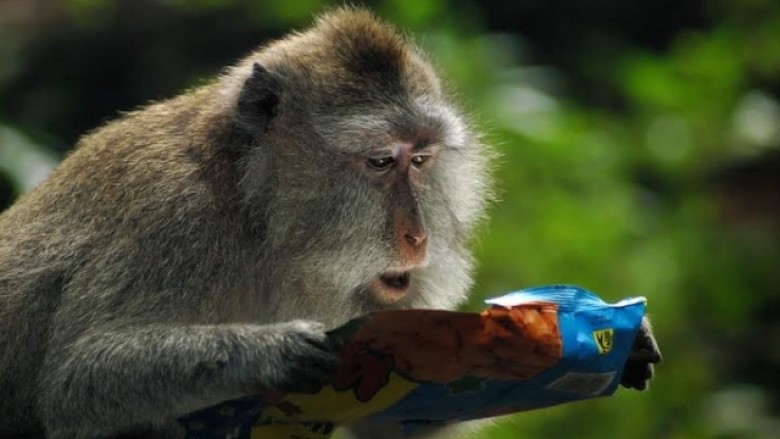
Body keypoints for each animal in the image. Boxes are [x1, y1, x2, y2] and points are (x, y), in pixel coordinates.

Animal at [0, 6, 660, 439]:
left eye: (421, 160)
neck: (257, 219)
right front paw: (271, 351)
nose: (417, 237)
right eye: (380, 161)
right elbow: (77, 382)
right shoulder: (168, 220)